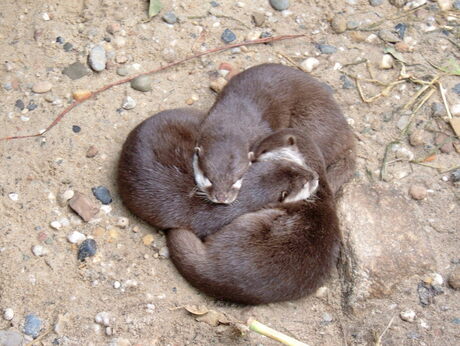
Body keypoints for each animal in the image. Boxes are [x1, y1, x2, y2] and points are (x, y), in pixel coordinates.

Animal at [167, 128, 340, 304]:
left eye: (263, 150)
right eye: (297, 168)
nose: (315, 177)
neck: (319, 193)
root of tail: (216, 270)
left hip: (247, 224)